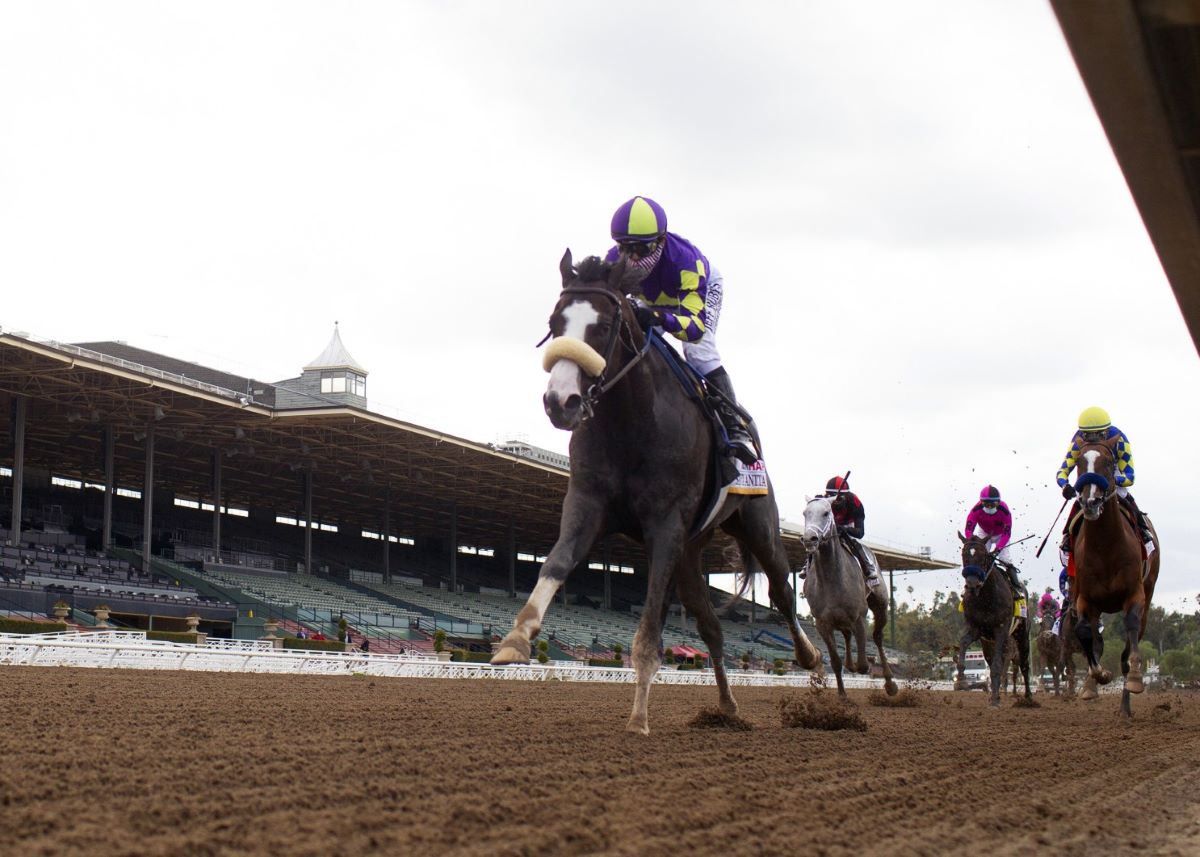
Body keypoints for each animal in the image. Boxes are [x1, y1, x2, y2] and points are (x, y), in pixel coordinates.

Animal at [487, 250, 816, 729]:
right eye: (554, 321)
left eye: (604, 326)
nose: (560, 401)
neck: (632, 422)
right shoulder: (588, 502)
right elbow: (558, 561)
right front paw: (516, 639)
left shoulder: (665, 523)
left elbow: (650, 622)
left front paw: (638, 718)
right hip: (691, 551)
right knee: (711, 627)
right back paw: (727, 707)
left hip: (758, 527)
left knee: (782, 593)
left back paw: (812, 659)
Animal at [801, 494, 897, 696]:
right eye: (805, 513)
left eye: (826, 512)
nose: (809, 539)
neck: (831, 577)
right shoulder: (822, 623)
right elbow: (836, 662)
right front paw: (842, 695)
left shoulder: (859, 617)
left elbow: (863, 664)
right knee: (846, 635)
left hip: (880, 605)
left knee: (877, 636)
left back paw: (890, 683)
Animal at [1070, 436, 1161, 710]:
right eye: (1079, 463)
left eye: (1109, 463)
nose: (1090, 502)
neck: (1105, 547)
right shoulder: (1085, 599)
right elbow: (1084, 633)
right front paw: (1097, 677)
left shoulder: (1134, 594)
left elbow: (1129, 630)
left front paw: (1135, 678)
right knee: (1095, 639)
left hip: (1148, 593)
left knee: (1135, 634)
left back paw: (1125, 708)